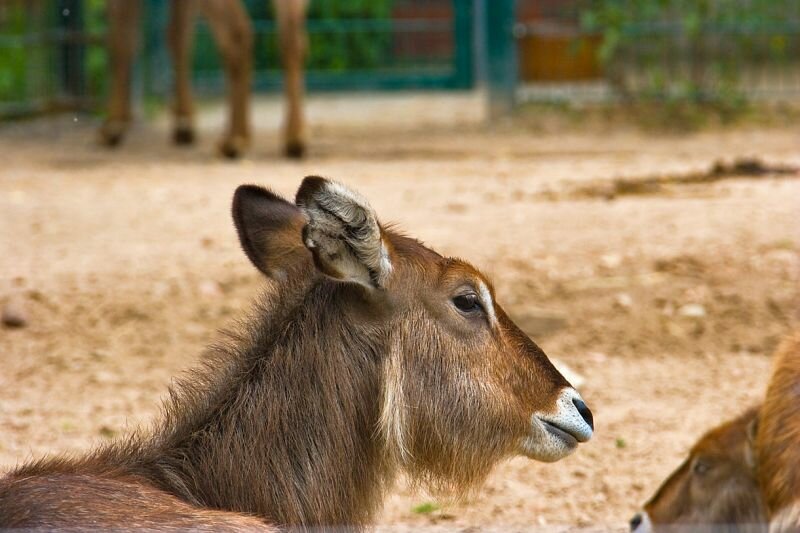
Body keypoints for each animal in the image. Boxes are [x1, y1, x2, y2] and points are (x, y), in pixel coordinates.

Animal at [100, 0, 306, 158]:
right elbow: (177, 33)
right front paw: (184, 124)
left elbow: (121, 36)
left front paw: (113, 125)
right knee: (292, 31)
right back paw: (295, 138)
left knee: (237, 31)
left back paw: (234, 140)